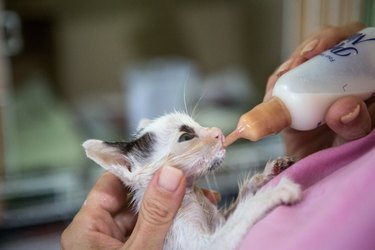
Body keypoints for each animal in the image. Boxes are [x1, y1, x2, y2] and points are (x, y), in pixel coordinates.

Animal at [83, 112, 302, 249]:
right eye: (186, 136)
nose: (218, 131)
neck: (191, 195)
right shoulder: (203, 245)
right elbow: (244, 211)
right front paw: (275, 192)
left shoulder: (220, 221)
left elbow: (241, 202)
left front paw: (273, 169)